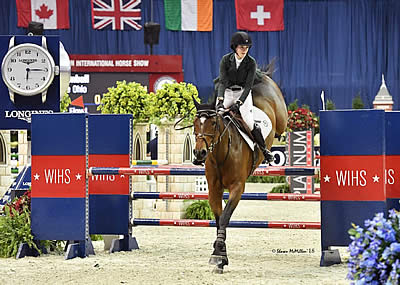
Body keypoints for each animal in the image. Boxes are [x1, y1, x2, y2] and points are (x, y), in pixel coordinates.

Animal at [192, 65, 286, 272]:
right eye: (195, 124)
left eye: (213, 123)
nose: (200, 153)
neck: (221, 153)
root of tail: (261, 78)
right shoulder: (214, 189)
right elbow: (219, 218)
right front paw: (220, 254)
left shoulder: (237, 187)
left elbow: (225, 217)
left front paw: (218, 255)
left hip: (281, 117)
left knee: (282, 127)